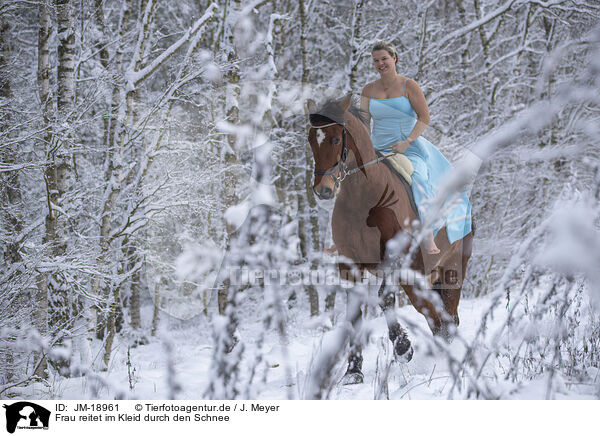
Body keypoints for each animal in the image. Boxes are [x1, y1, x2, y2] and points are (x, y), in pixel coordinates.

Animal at [308, 94, 472, 382]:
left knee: (446, 318)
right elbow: (355, 315)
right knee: (436, 316)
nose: (323, 190)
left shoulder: (396, 259)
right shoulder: (349, 265)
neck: (364, 197)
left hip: (451, 270)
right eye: (309, 140)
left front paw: (404, 348)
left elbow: (385, 299)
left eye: (336, 140)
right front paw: (353, 371)